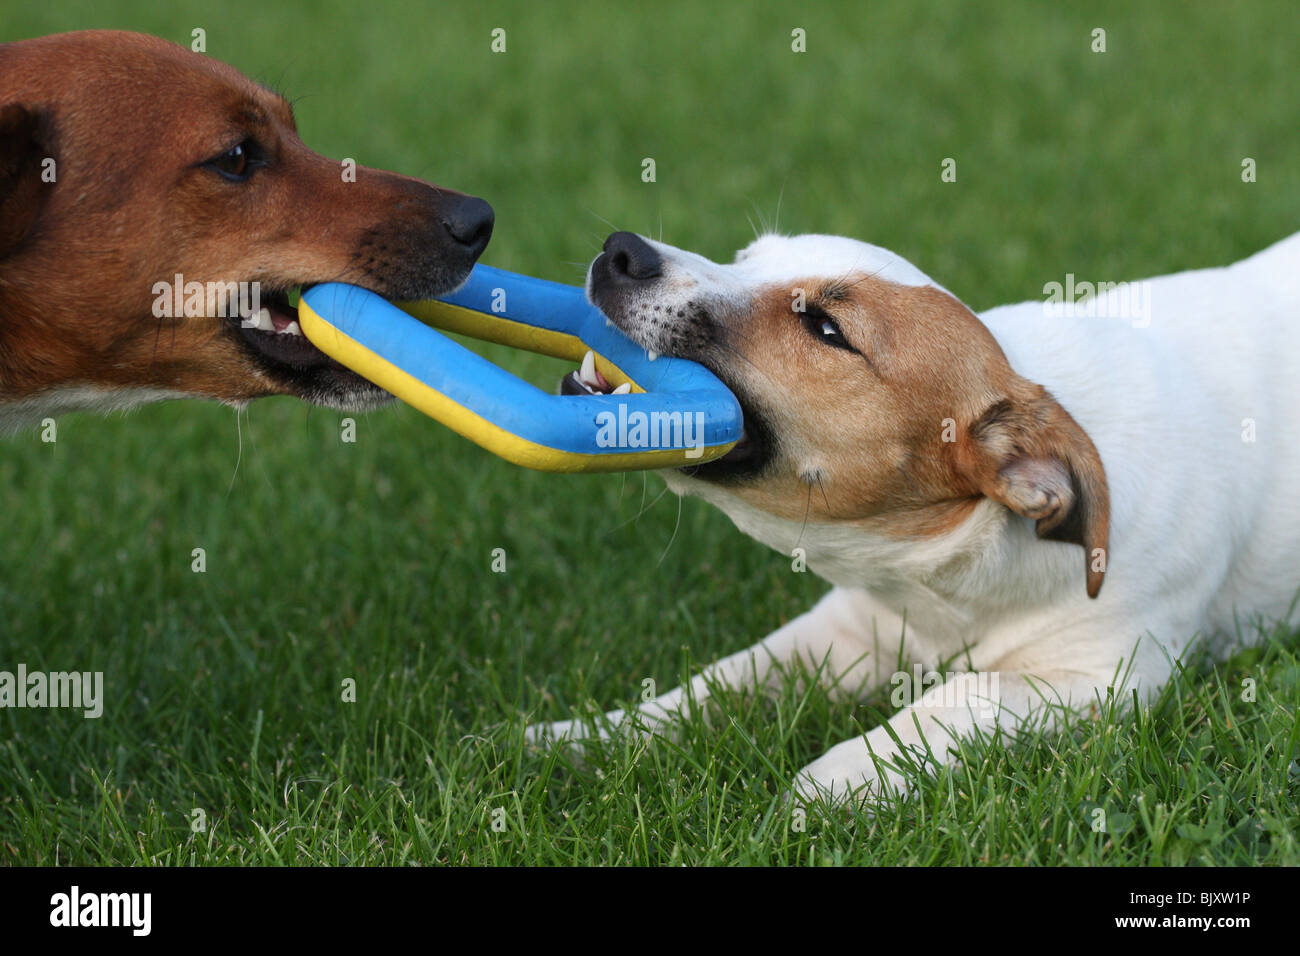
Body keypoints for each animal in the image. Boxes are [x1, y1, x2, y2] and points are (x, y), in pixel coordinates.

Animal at [527, 227, 1300, 806]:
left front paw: (827, 784)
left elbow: (951, 700)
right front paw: (587, 737)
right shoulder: (846, 629)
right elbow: (714, 685)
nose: (622, 250)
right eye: (746, 257)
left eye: (825, 327)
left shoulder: (1101, 680)